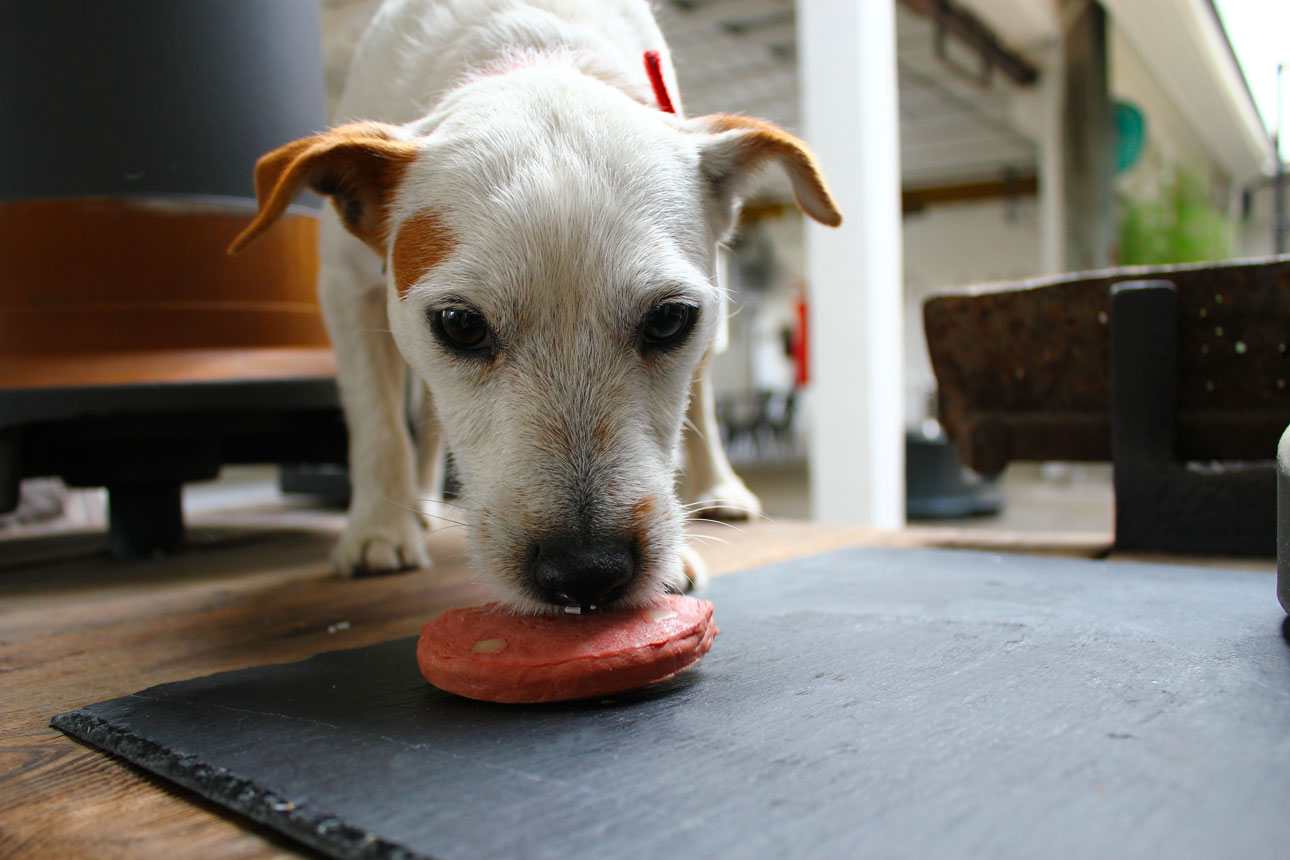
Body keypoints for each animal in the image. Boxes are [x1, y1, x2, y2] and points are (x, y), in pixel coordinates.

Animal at [232, 0, 841, 616]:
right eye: (461, 324)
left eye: (669, 319)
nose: (588, 573)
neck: (528, 49)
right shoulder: (344, 289)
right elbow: (377, 423)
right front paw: (379, 528)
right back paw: (416, 503)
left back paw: (719, 487)